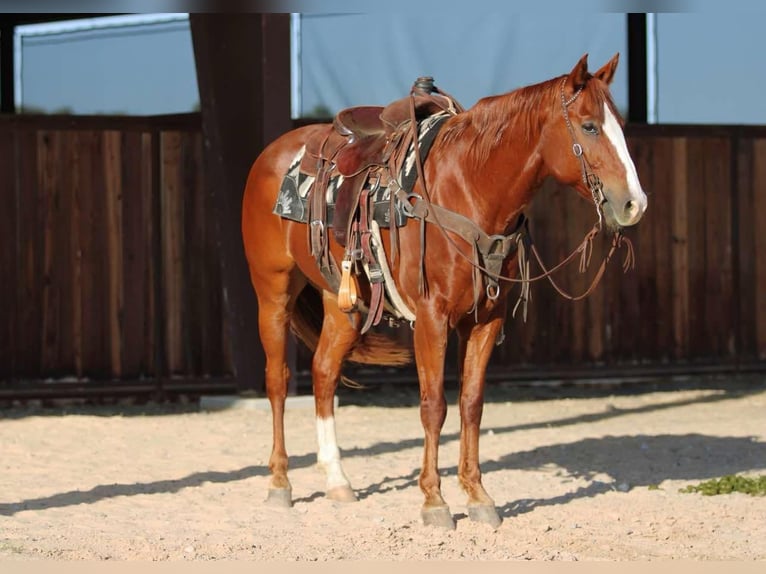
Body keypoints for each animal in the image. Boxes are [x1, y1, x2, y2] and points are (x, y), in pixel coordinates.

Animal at [242, 54, 648, 532]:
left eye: (620, 124)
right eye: (588, 126)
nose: (634, 204)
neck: (469, 188)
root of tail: (272, 154)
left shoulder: (486, 320)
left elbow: (471, 404)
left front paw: (478, 495)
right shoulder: (432, 319)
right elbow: (433, 406)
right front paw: (434, 501)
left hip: (342, 302)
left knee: (324, 373)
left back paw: (338, 480)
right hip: (273, 292)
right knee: (278, 381)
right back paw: (280, 482)